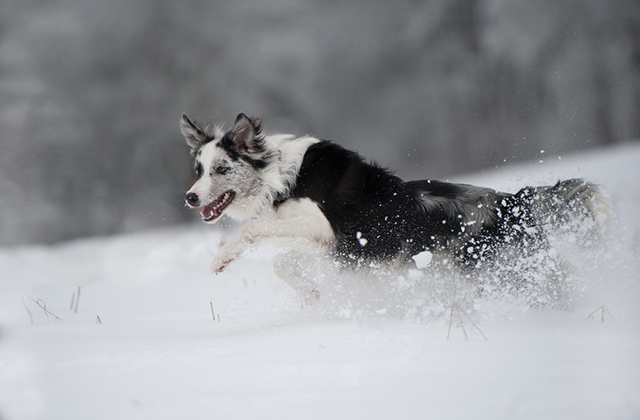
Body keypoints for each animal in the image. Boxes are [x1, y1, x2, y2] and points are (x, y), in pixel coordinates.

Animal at [179, 113, 604, 282]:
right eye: (198, 169)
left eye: (220, 169)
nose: (190, 198)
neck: (280, 176)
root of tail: (513, 201)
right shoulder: (336, 247)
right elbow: (284, 262)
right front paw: (315, 295)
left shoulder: (325, 229)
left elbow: (253, 231)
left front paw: (220, 258)